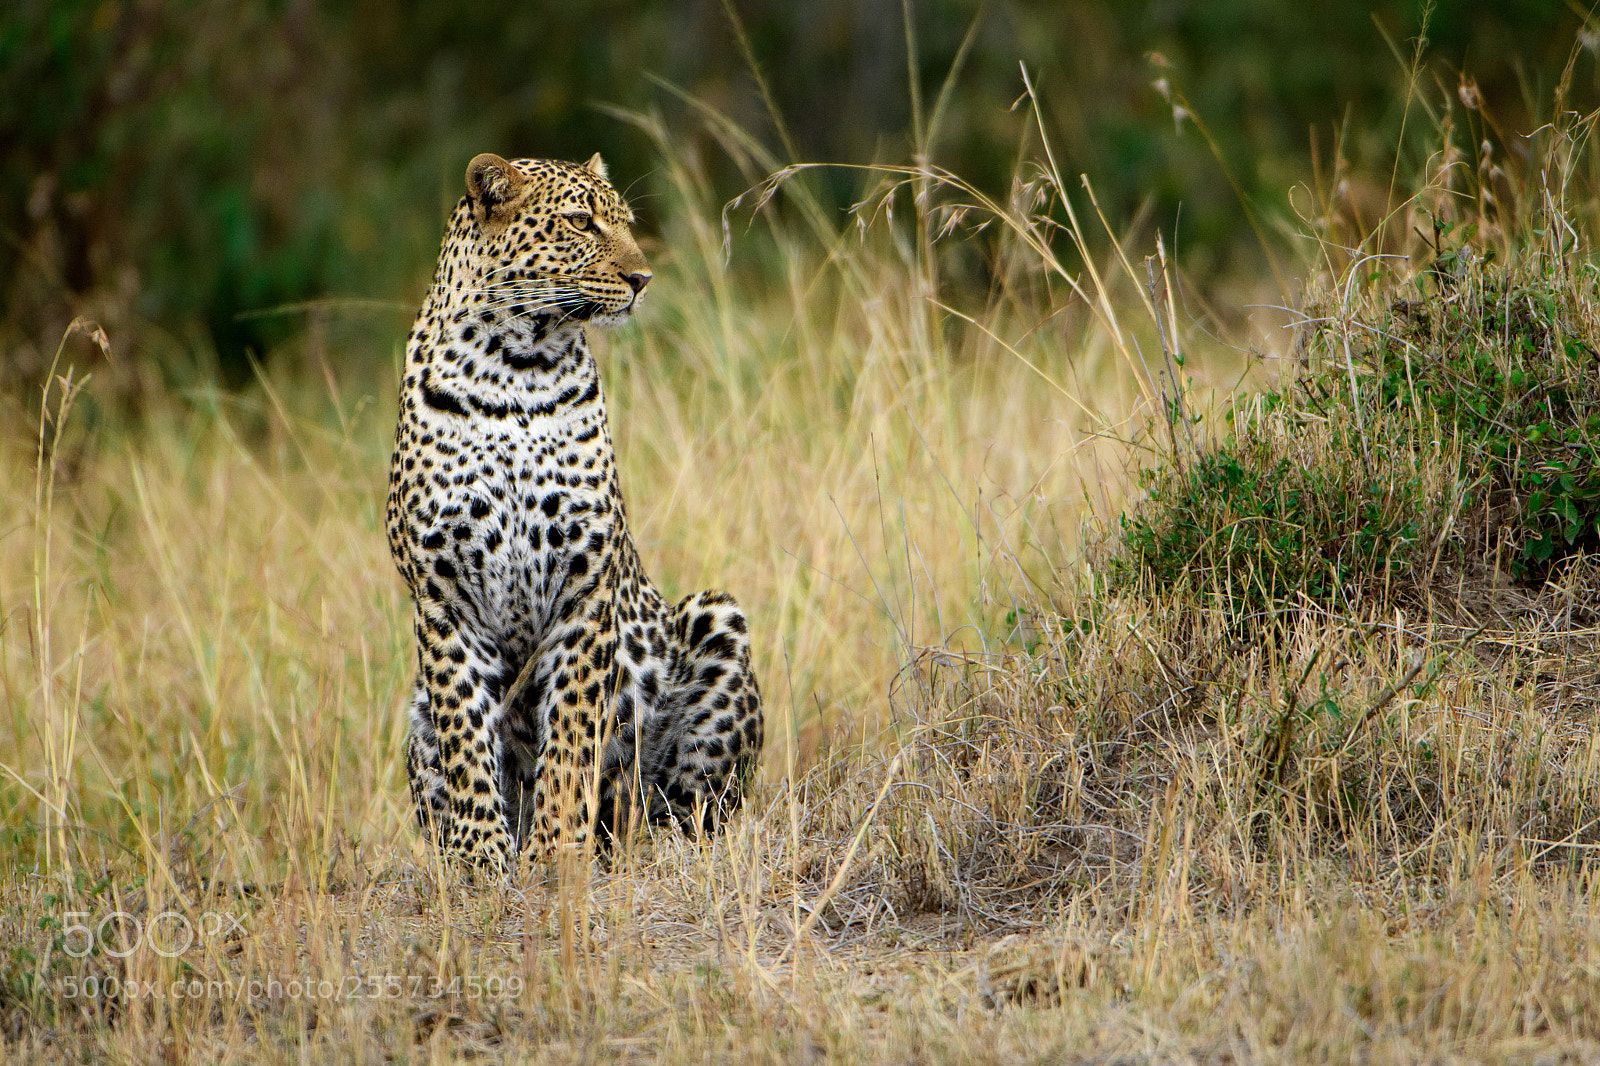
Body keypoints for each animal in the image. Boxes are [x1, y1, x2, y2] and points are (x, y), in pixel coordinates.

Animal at [386, 151, 764, 876]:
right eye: (581, 223)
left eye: (626, 222)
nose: (643, 278)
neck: (513, 370)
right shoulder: (444, 594)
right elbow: (467, 738)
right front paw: (483, 859)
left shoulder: (585, 584)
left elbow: (570, 737)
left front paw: (555, 852)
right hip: (413, 713)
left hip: (716, 622)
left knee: (685, 811)